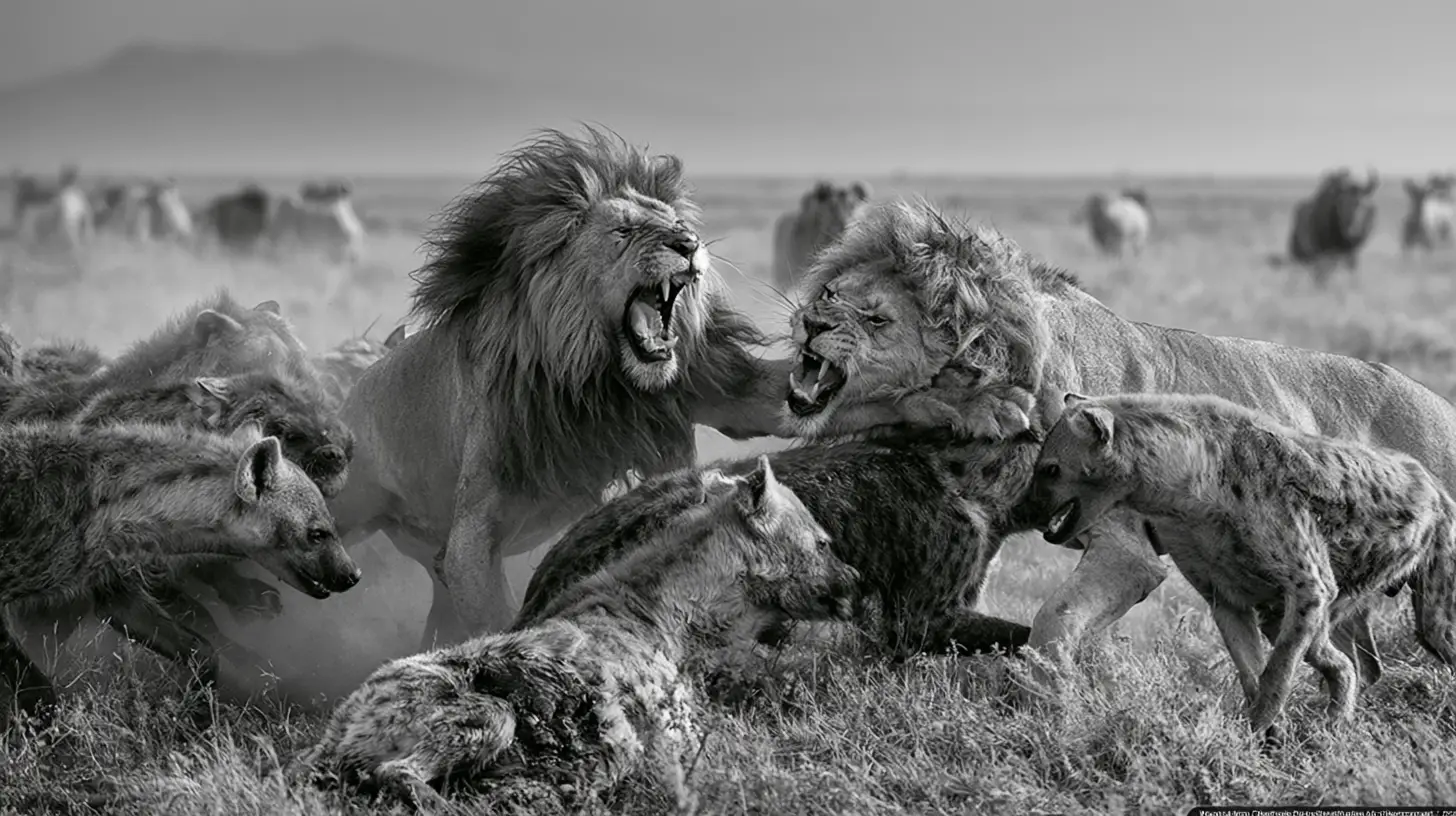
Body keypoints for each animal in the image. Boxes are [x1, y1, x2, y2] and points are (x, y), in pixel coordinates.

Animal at [327, 128, 1022, 649]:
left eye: (674, 222)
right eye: (625, 231)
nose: (688, 244)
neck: (602, 378)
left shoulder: (711, 388)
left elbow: (835, 401)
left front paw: (971, 400)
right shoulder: (477, 530)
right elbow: (499, 602)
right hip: (352, 508)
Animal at [786, 198, 1456, 691]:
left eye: (877, 319)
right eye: (829, 295)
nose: (810, 323)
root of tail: (1442, 405)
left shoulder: (1127, 548)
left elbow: (1051, 622)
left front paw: (1047, 704)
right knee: (1364, 664)